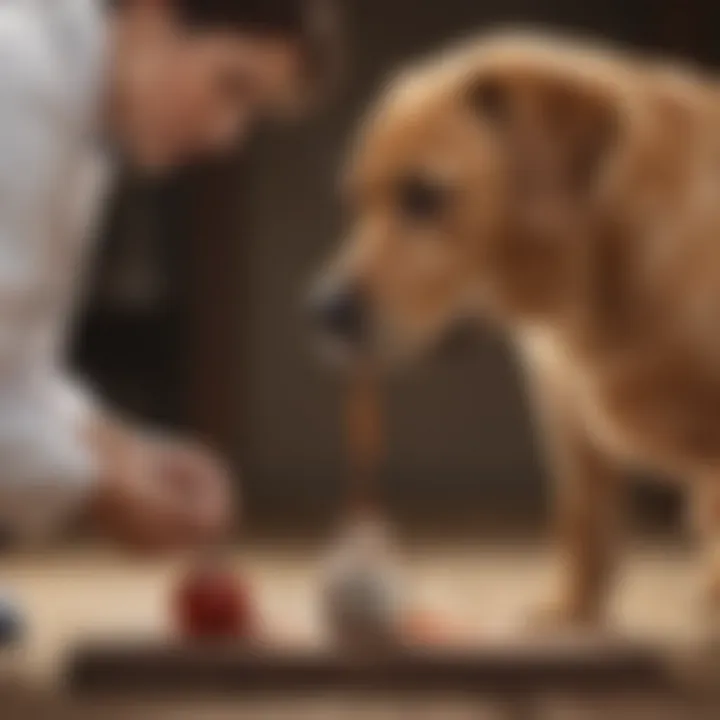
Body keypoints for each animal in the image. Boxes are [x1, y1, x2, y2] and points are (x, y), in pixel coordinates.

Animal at [316, 32, 720, 632]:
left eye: (424, 195)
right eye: (354, 200)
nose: (320, 310)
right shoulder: (562, 415)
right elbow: (583, 522)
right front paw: (571, 612)